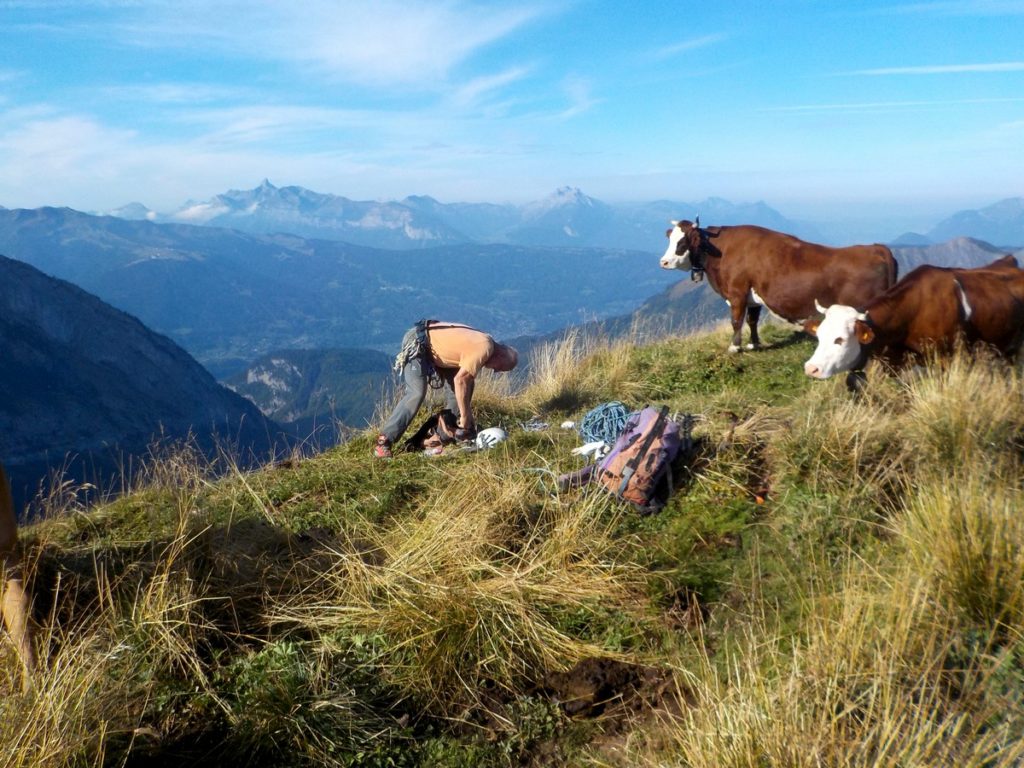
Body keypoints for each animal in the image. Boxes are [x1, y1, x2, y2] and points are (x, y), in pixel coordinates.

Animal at [663, 221, 897, 354]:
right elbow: (752, 320)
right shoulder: (753, 296)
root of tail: (877, 249)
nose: (663, 262)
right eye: (670, 239)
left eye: (681, 243)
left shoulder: (737, 293)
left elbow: (736, 320)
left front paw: (734, 347)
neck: (720, 251)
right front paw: (754, 344)